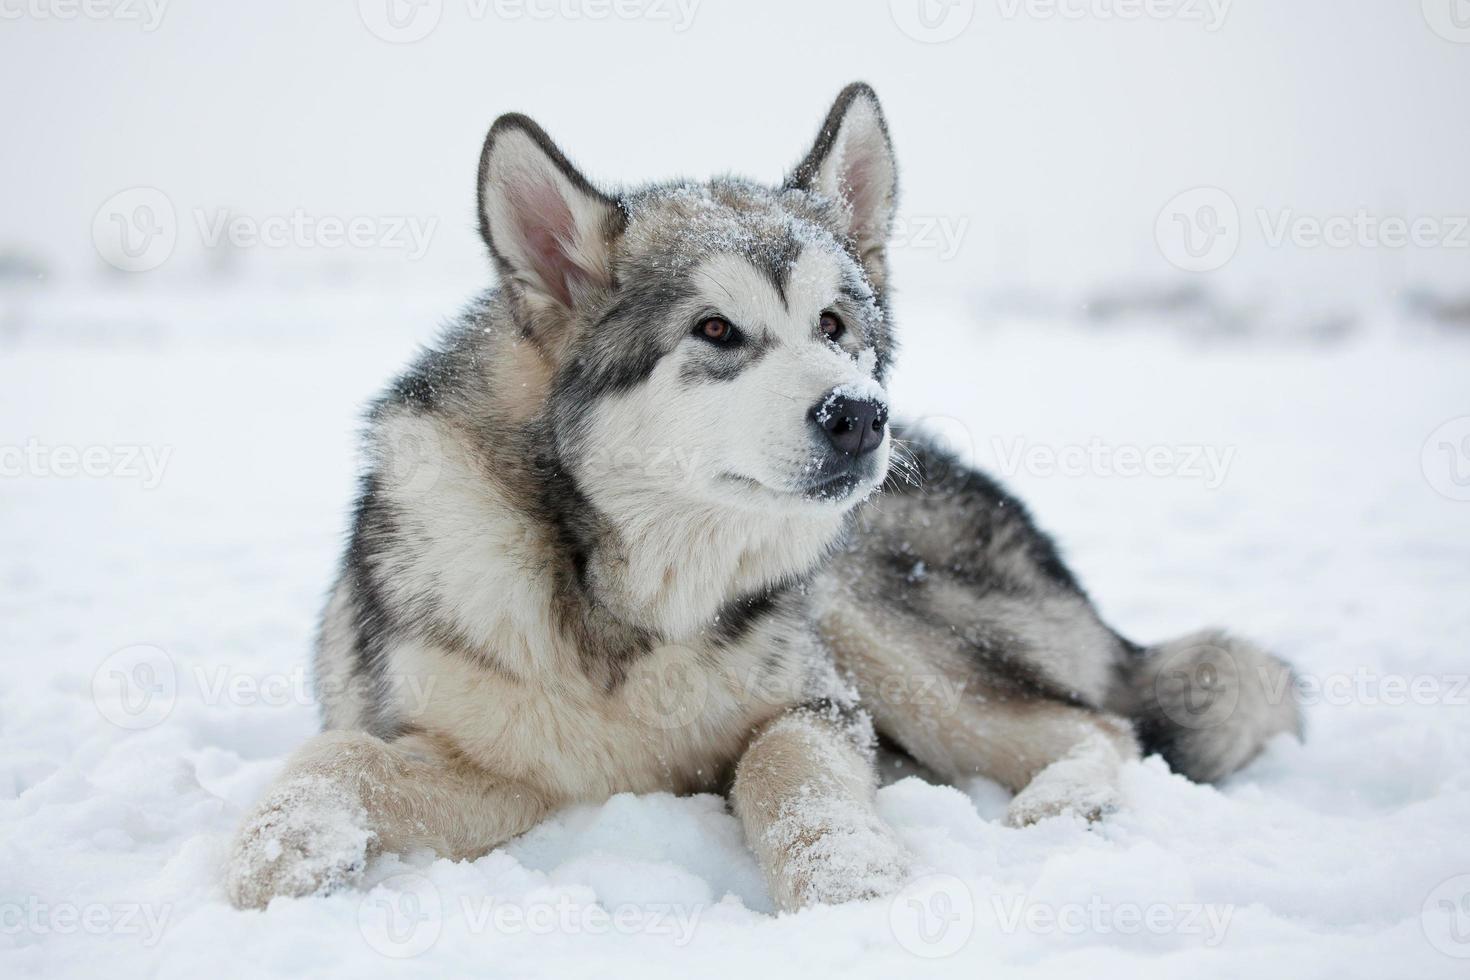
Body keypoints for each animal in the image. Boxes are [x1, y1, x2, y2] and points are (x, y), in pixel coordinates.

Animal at [223, 82, 1305, 910]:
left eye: (834, 324)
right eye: (715, 330)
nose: (860, 415)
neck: (631, 604)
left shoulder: (817, 700)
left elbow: (781, 769)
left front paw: (850, 883)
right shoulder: (500, 761)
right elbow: (339, 758)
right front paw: (277, 854)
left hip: (873, 615)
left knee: (1104, 725)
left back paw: (1061, 803)